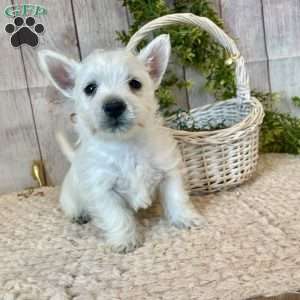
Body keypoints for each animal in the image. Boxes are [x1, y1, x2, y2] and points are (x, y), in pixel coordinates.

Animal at [37, 34, 205, 252]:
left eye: (135, 83)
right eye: (90, 88)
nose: (114, 106)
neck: (126, 144)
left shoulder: (169, 172)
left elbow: (177, 197)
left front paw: (186, 219)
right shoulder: (103, 190)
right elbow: (116, 216)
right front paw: (125, 241)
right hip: (70, 199)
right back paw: (79, 215)